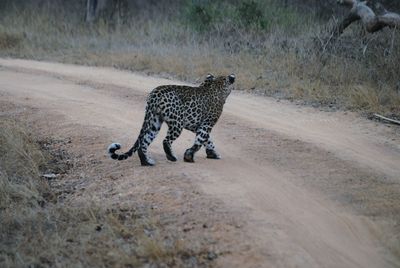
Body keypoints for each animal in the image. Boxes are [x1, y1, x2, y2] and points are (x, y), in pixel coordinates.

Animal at [108, 73, 236, 165]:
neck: (217, 85)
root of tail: (155, 93)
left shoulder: (195, 126)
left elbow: (207, 140)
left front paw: (212, 153)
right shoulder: (206, 124)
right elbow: (200, 140)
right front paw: (189, 156)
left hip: (154, 121)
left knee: (144, 142)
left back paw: (147, 162)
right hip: (177, 123)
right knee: (166, 141)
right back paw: (171, 157)